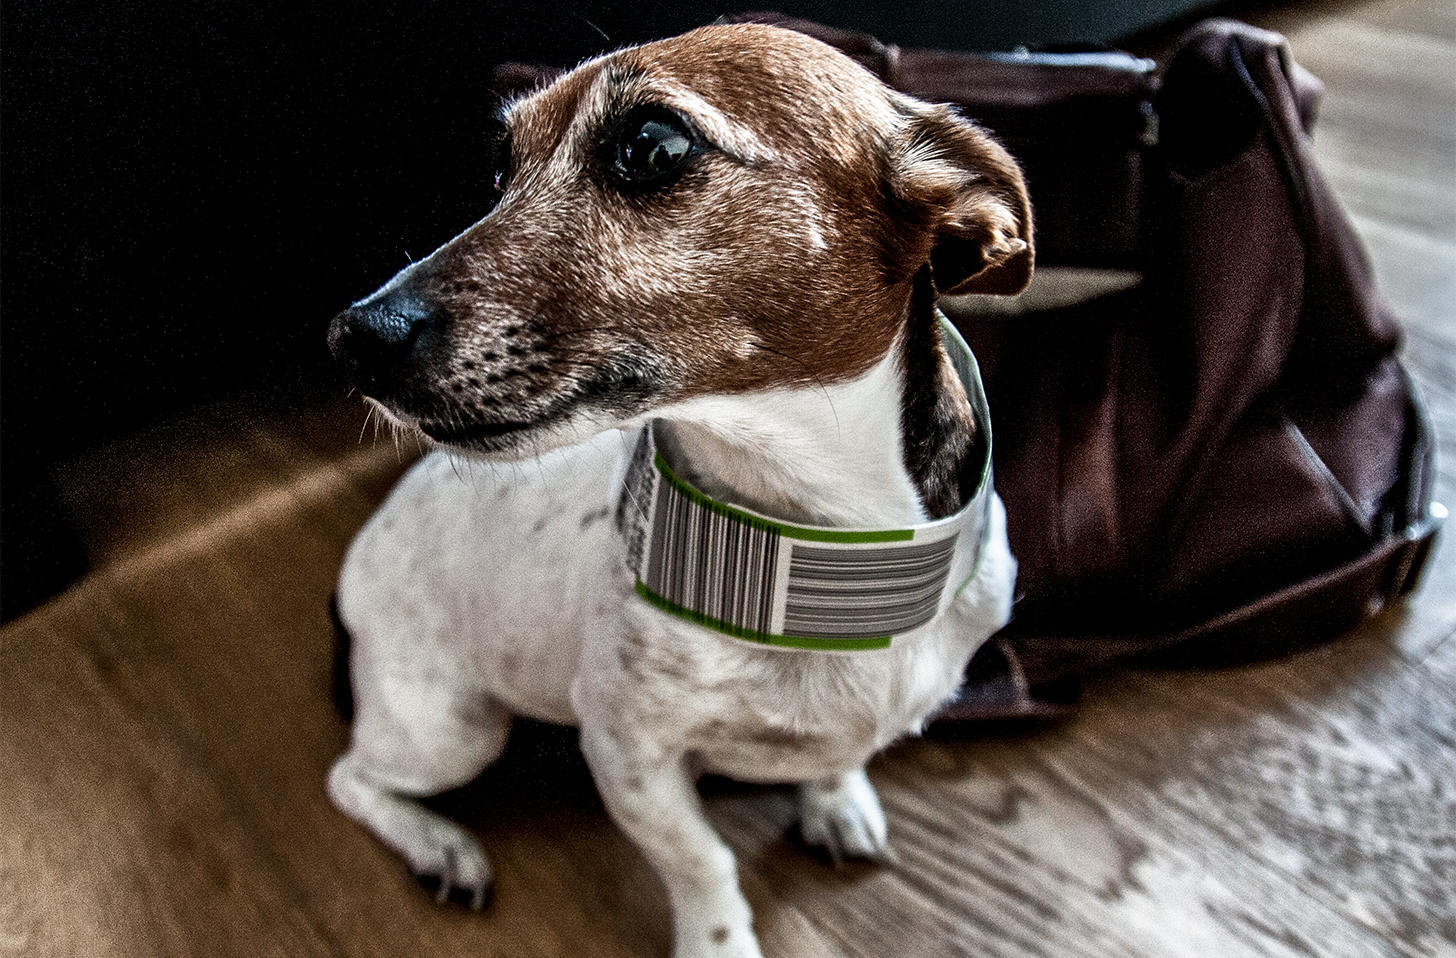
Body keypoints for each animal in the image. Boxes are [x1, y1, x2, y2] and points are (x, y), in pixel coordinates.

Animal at [325, 22, 1030, 958]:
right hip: (450, 729)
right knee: (352, 780)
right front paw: (717, 939)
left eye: (652, 146)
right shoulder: (628, 752)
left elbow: (836, 757)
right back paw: (439, 845)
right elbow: (702, 863)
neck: (820, 565)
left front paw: (836, 799)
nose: (351, 336)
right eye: (502, 169)